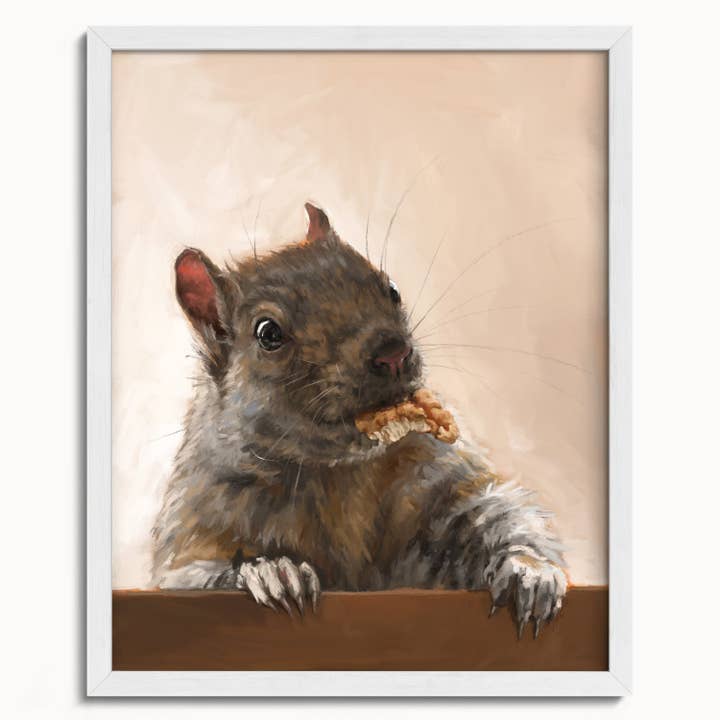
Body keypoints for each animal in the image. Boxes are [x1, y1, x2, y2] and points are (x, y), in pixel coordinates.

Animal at [152, 203, 567, 638]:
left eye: (392, 289)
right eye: (267, 333)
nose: (393, 352)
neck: (337, 472)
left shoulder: (436, 476)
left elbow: (493, 510)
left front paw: (529, 571)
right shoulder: (197, 525)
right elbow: (190, 575)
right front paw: (271, 571)